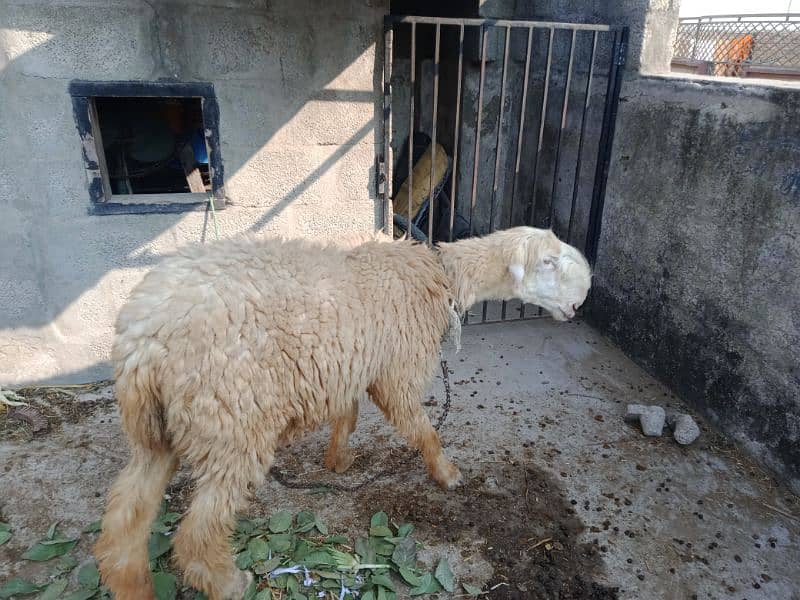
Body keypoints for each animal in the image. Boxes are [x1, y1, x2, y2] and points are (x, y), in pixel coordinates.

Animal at [95, 225, 592, 600]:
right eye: (549, 261)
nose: (584, 297)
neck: (441, 276)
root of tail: (142, 340)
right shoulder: (396, 369)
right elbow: (422, 429)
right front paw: (448, 474)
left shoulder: (351, 363)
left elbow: (347, 417)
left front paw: (337, 461)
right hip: (230, 420)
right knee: (197, 536)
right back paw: (231, 583)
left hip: (157, 431)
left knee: (125, 521)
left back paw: (135, 586)